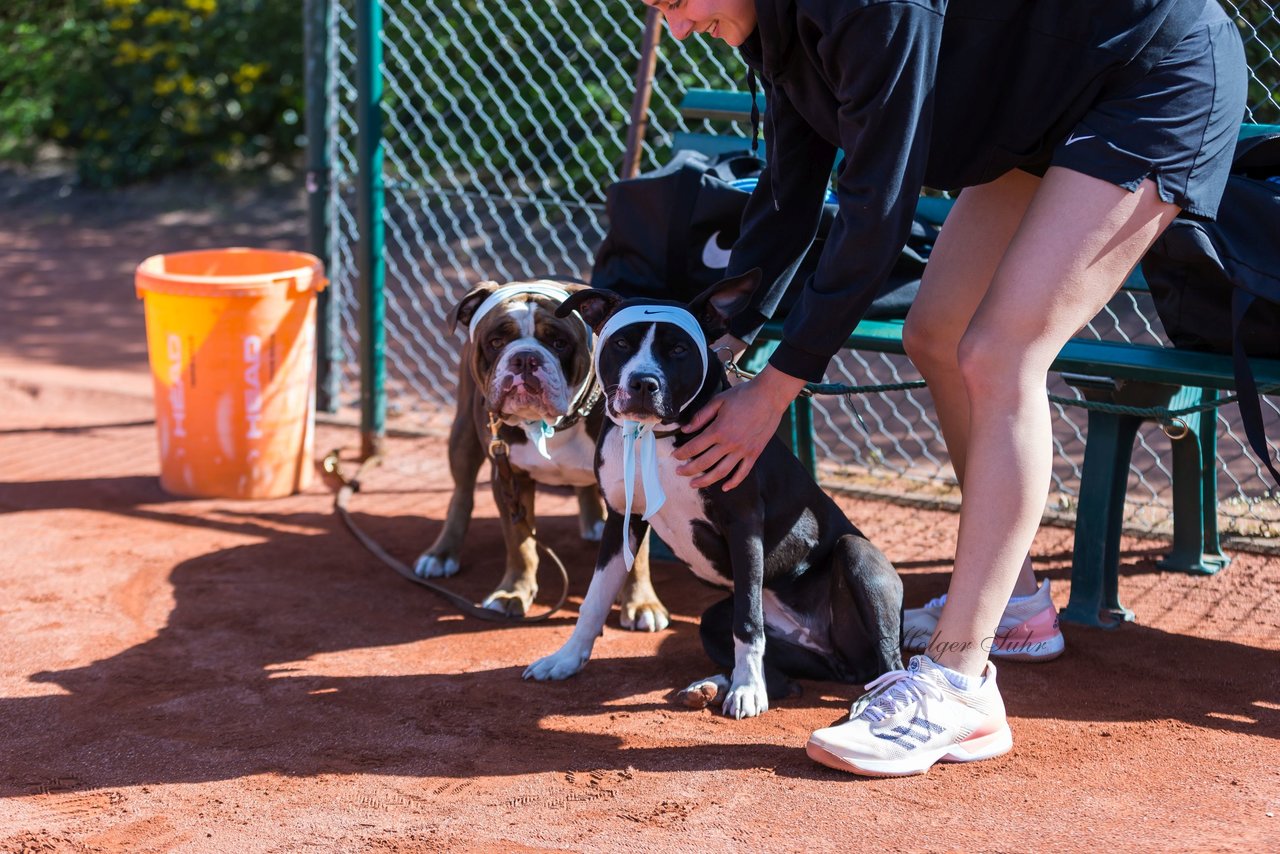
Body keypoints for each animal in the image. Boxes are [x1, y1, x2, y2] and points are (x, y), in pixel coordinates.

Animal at [519, 272, 901, 717]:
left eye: (679, 348)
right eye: (621, 343)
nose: (643, 383)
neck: (656, 435)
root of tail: (837, 657)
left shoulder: (743, 524)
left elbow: (748, 623)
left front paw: (748, 690)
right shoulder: (620, 520)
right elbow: (594, 600)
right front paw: (566, 659)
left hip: (859, 558)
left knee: (887, 658)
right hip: (716, 624)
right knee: (788, 683)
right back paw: (712, 685)